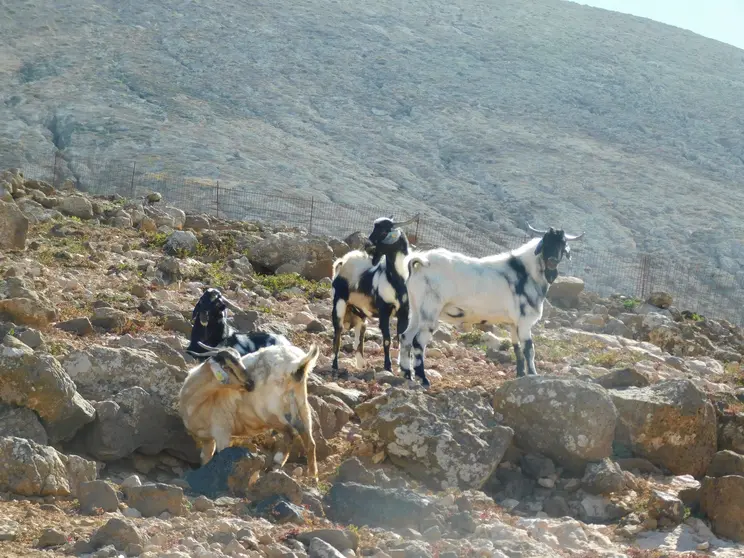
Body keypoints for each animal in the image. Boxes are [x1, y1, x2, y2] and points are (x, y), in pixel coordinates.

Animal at [180, 342, 322, 482]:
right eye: (227, 367)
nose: (251, 383)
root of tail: (295, 365)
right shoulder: (207, 440)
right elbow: (205, 460)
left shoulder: (222, 431)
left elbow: (222, 453)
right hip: (302, 406)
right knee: (309, 440)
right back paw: (312, 477)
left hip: (270, 412)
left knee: (290, 433)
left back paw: (276, 464)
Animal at [332, 217, 418, 374]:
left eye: (383, 231)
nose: (367, 245)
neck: (397, 280)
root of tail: (342, 263)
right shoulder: (384, 310)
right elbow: (387, 339)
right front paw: (388, 366)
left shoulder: (404, 312)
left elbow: (402, 338)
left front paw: (406, 371)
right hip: (339, 304)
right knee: (338, 333)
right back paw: (335, 365)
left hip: (359, 312)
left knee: (360, 334)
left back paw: (361, 364)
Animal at [398, 225, 584, 388]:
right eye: (545, 242)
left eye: (563, 244)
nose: (552, 261)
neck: (525, 273)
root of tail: (421, 263)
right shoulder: (524, 321)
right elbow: (529, 349)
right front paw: (532, 375)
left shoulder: (513, 323)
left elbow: (517, 348)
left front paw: (520, 376)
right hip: (429, 310)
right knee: (418, 342)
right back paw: (423, 379)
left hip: (416, 310)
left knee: (406, 337)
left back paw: (407, 374)